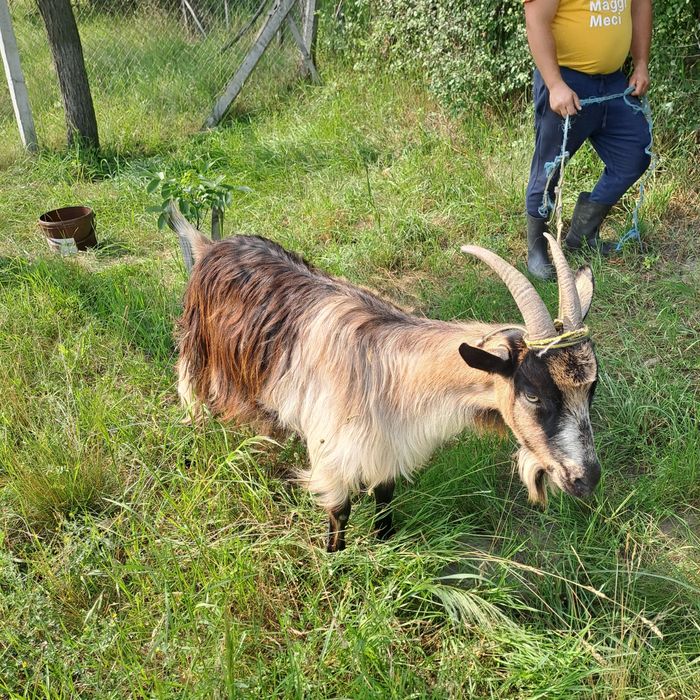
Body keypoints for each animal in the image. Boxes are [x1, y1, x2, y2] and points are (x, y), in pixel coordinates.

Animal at [170, 206, 601, 552]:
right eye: (532, 395)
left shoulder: (387, 446)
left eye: (590, 391)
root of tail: (211, 245)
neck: (392, 374)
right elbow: (339, 513)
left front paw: (384, 542)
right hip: (198, 348)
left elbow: (384, 497)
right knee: (189, 389)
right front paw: (335, 564)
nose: (587, 479)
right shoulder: (333, 452)